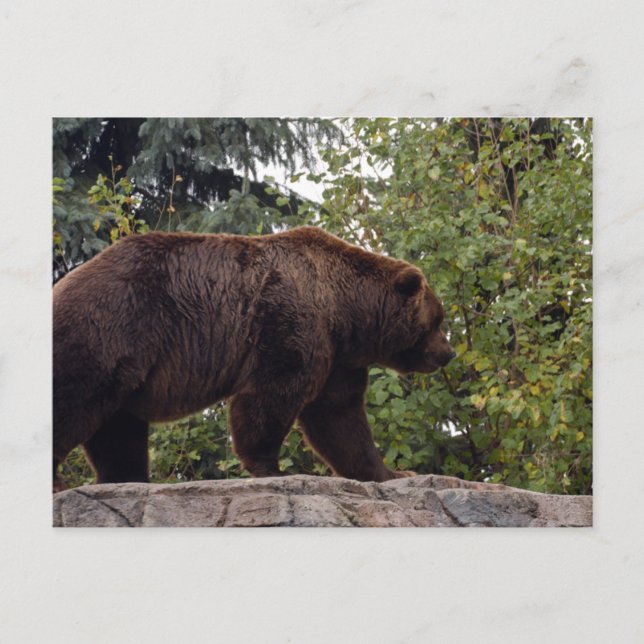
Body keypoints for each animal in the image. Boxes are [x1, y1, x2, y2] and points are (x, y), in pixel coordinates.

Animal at [53, 226, 455, 490]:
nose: (448, 353)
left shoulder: (339, 358)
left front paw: (392, 473)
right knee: (72, 402)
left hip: (126, 367)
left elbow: (340, 418)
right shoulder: (290, 320)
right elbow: (272, 395)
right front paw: (273, 468)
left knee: (118, 428)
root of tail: (63, 283)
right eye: (437, 320)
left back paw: (126, 478)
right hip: (108, 329)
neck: (346, 310)